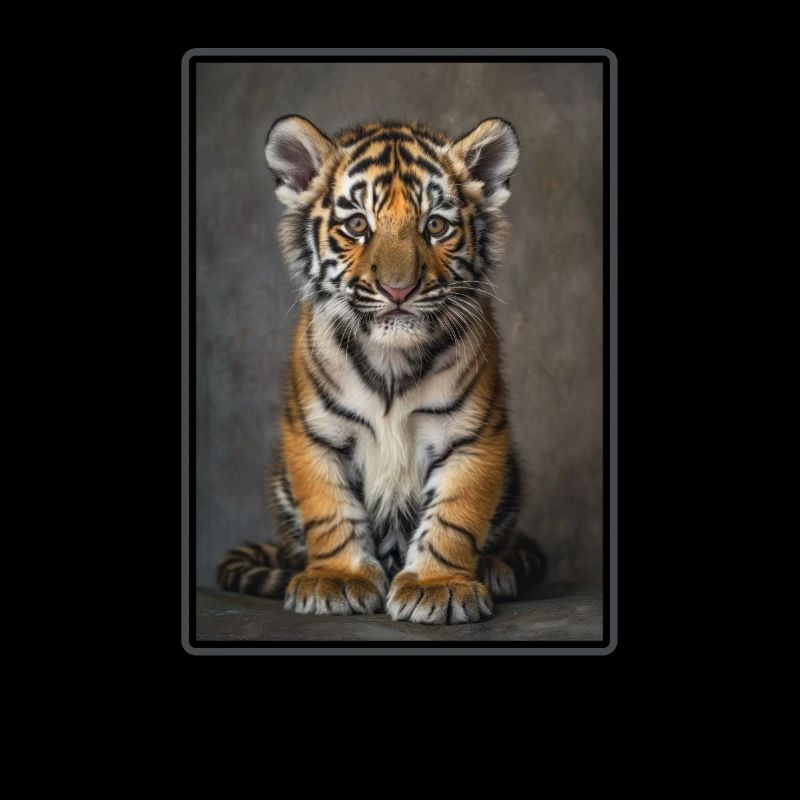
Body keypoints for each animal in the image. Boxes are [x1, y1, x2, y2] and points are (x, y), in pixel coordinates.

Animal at [217, 116, 547, 624]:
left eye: (435, 226)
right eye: (357, 225)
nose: (398, 290)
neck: (392, 360)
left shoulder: (474, 435)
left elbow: (455, 516)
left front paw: (437, 585)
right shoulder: (314, 433)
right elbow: (329, 511)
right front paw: (337, 579)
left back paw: (495, 569)